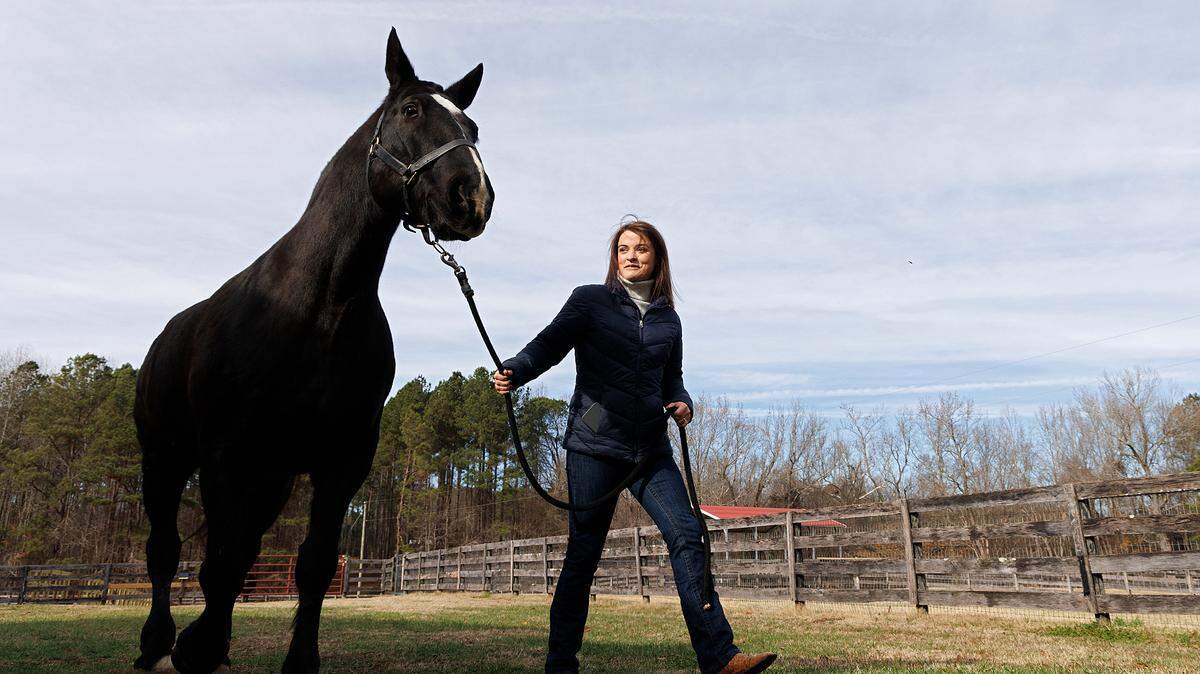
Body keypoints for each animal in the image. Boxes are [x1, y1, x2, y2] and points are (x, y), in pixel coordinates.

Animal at [132, 28, 493, 673]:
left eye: (471, 126)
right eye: (410, 111)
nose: (471, 197)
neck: (321, 307)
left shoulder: (341, 463)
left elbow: (312, 566)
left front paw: (288, 658)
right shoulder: (226, 457)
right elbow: (217, 563)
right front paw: (197, 648)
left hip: (271, 478)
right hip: (166, 461)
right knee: (166, 552)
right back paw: (158, 642)